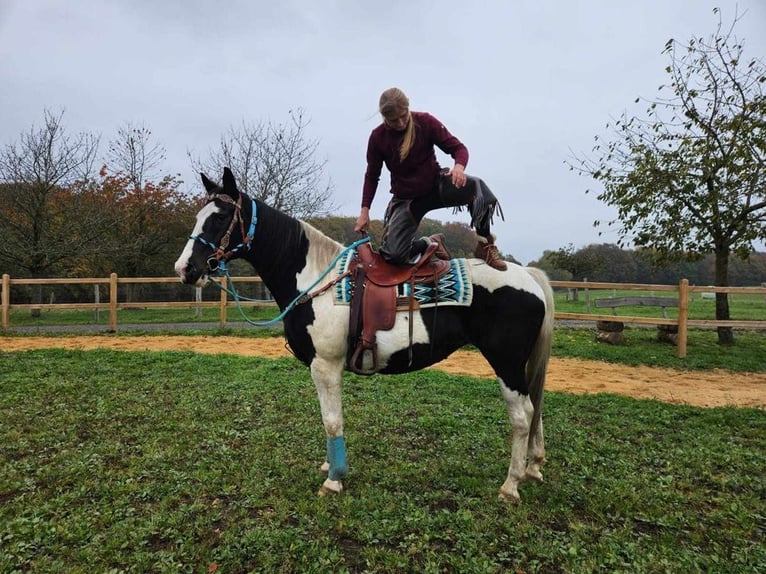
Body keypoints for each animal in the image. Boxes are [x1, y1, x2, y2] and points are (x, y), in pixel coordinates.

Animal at [176, 166, 556, 504]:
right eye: (199, 216)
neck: (315, 280)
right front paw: (330, 466)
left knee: (522, 416)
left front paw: (334, 480)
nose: (186, 269)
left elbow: (331, 421)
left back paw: (510, 486)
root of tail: (528, 276)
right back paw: (533, 468)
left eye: (220, 218)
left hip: (506, 363)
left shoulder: (325, 365)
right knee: (535, 407)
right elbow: (329, 421)